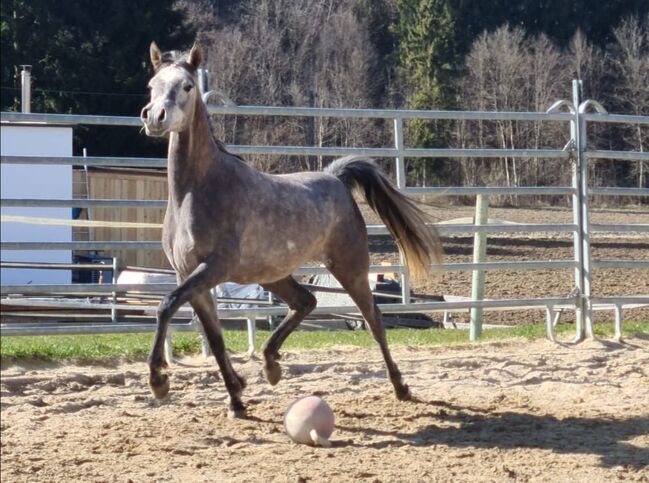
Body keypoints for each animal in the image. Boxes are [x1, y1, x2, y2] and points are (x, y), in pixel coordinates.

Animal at [140, 43, 440, 418]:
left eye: (187, 86)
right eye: (152, 85)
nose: (154, 117)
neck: (197, 191)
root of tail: (336, 179)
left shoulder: (213, 268)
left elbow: (165, 306)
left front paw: (159, 382)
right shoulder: (189, 275)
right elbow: (214, 338)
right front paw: (236, 399)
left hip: (349, 267)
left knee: (374, 319)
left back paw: (400, 387)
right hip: (272, 274)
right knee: (306, 301)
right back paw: (271, 365)